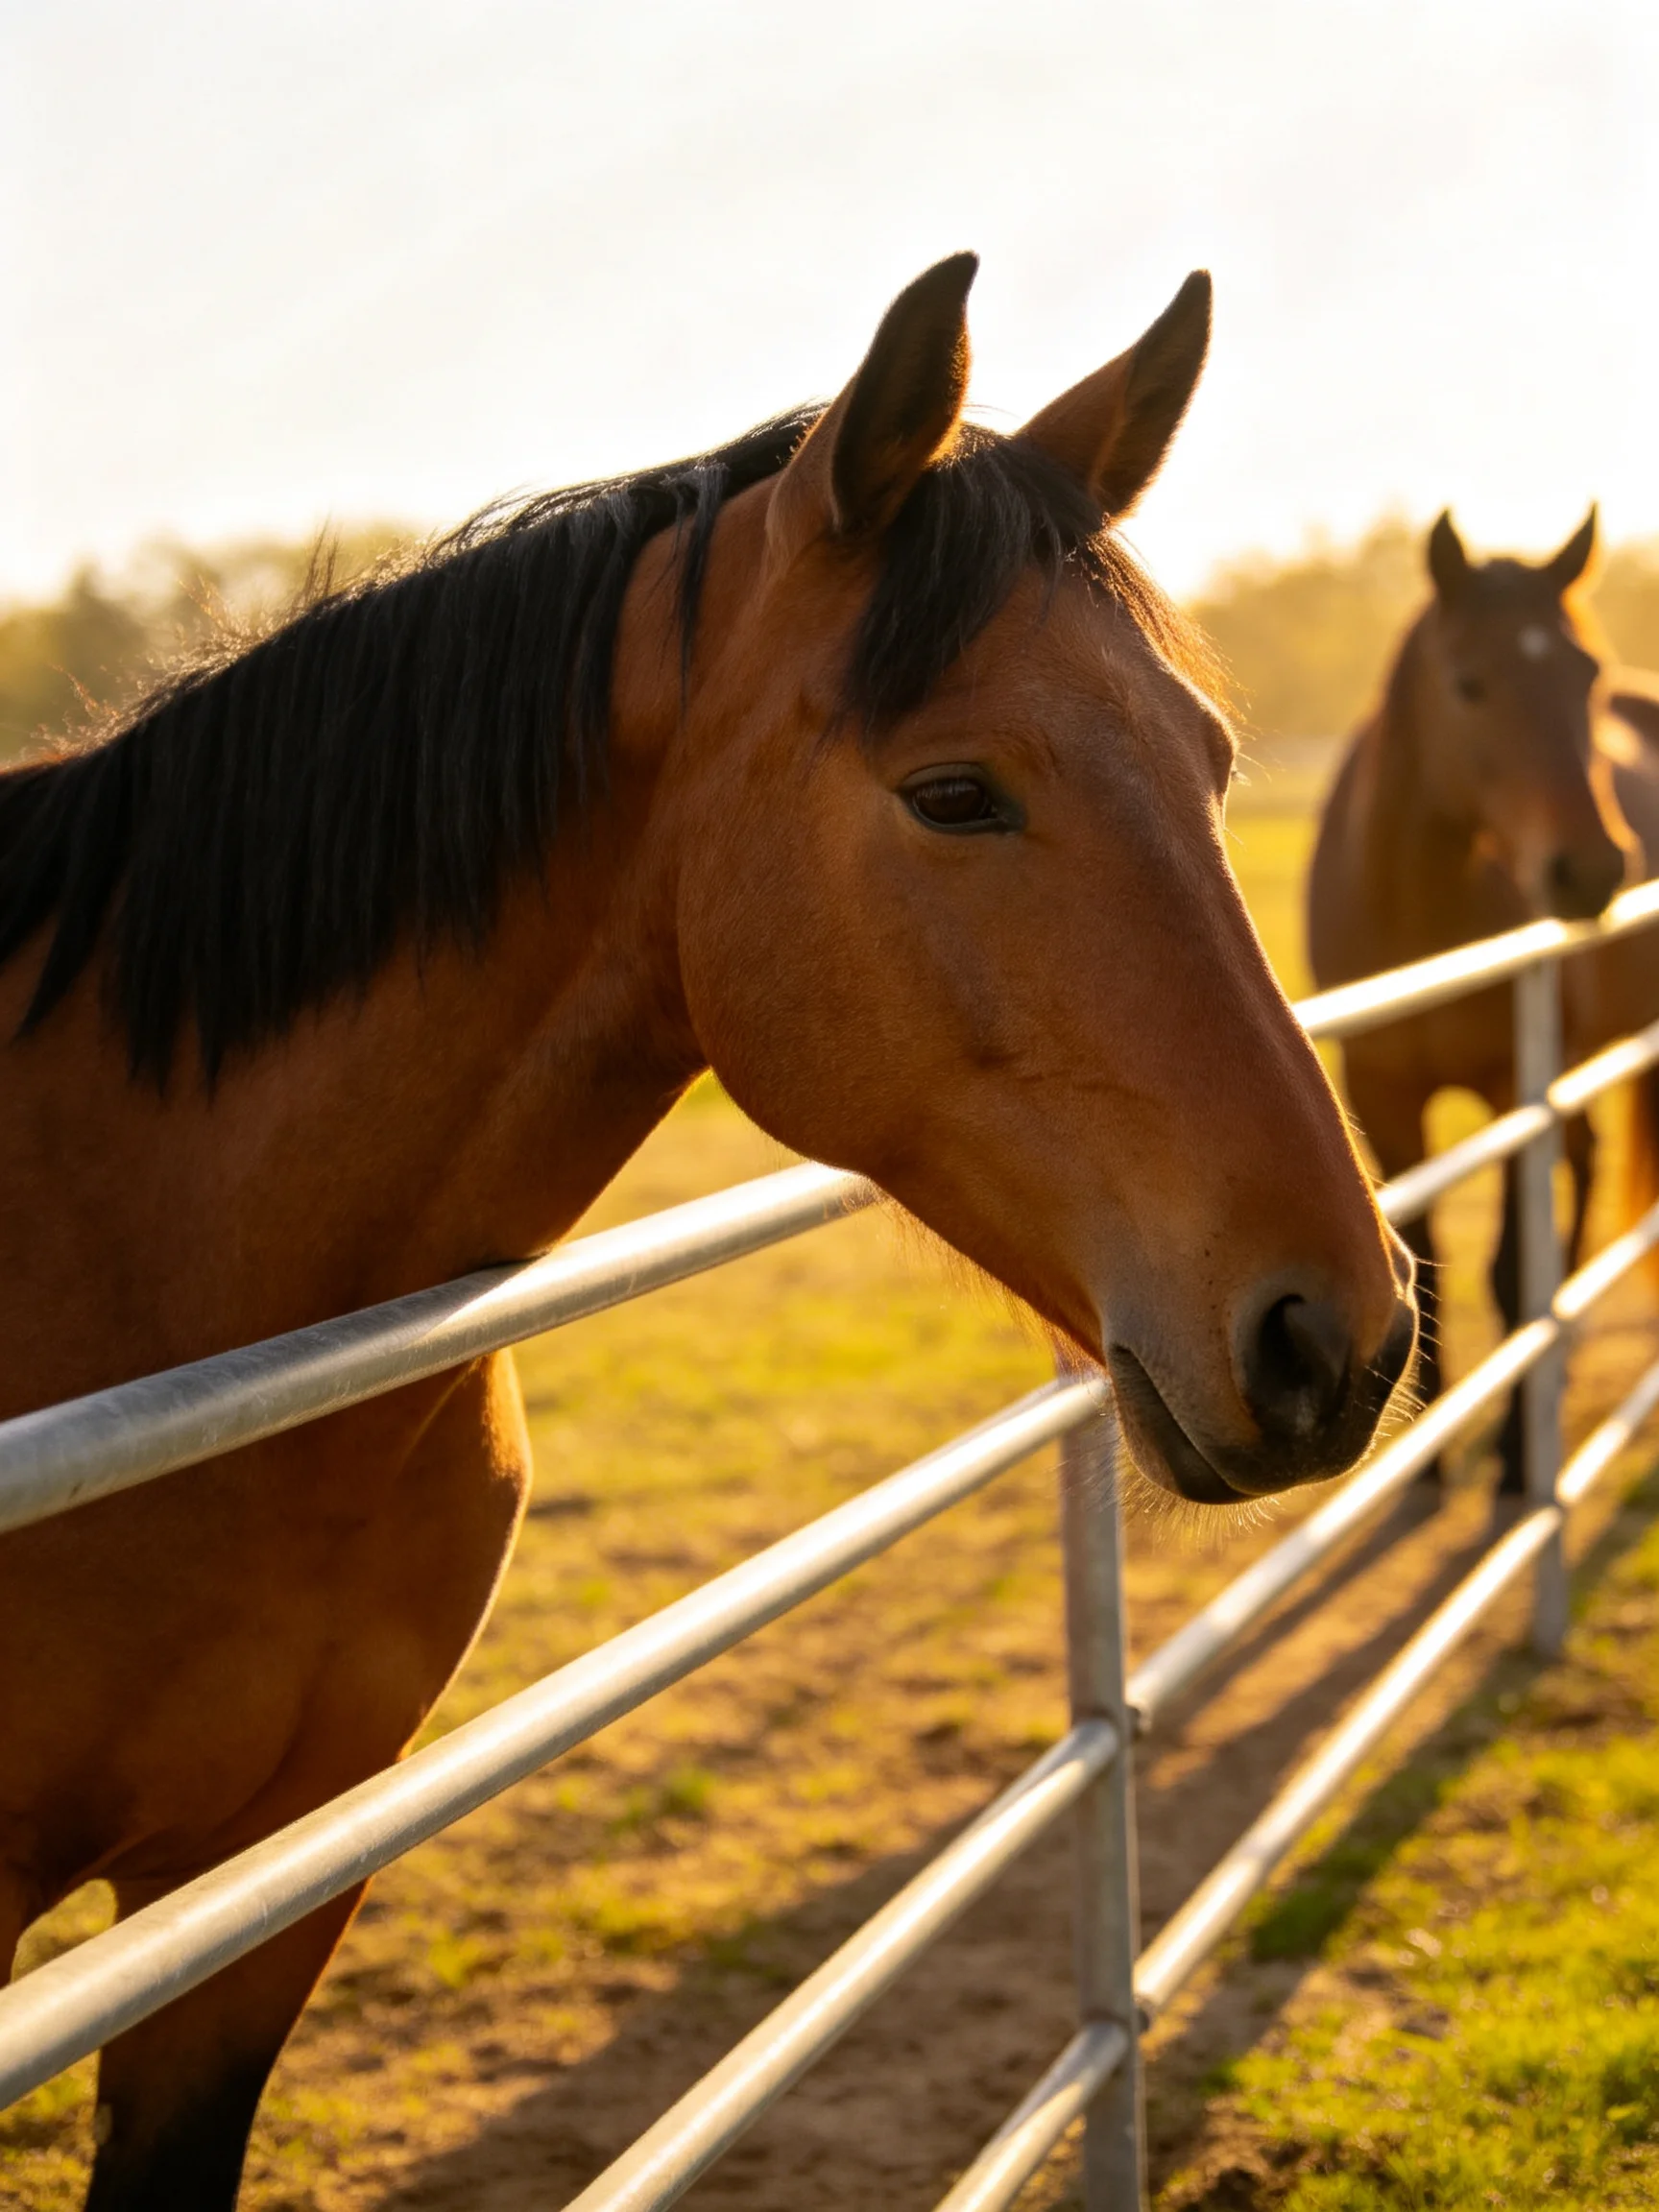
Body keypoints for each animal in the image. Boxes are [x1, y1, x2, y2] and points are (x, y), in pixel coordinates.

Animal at [1309, 507, 1659, 1492]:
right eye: (1469, 684)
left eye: (1587, 674)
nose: (1591, 868)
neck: (1417, 910)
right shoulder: (1381, 1096)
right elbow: (1423, 1260)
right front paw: (1424, 1456)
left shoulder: (1512, 1092)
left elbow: (1508, 1269)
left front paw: (1511, 1456)